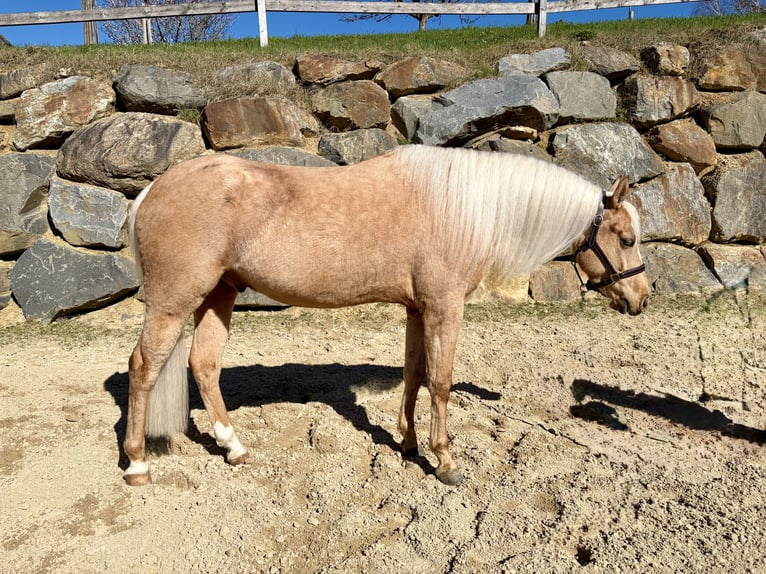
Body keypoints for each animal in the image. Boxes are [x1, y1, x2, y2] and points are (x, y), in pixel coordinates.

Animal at [123, 145, 650, 487]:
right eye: (626, 239)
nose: (642, 298)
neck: (459, 208)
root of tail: (153, 189)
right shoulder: (444, 307)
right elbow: (441, 381)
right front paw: (445, 461)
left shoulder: (418, 308)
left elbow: (414, 374)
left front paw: (409, 443)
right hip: (175, 301)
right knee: (144, 368)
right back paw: (137, 464)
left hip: (219, 294)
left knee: (203, 365)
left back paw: (234, 448)